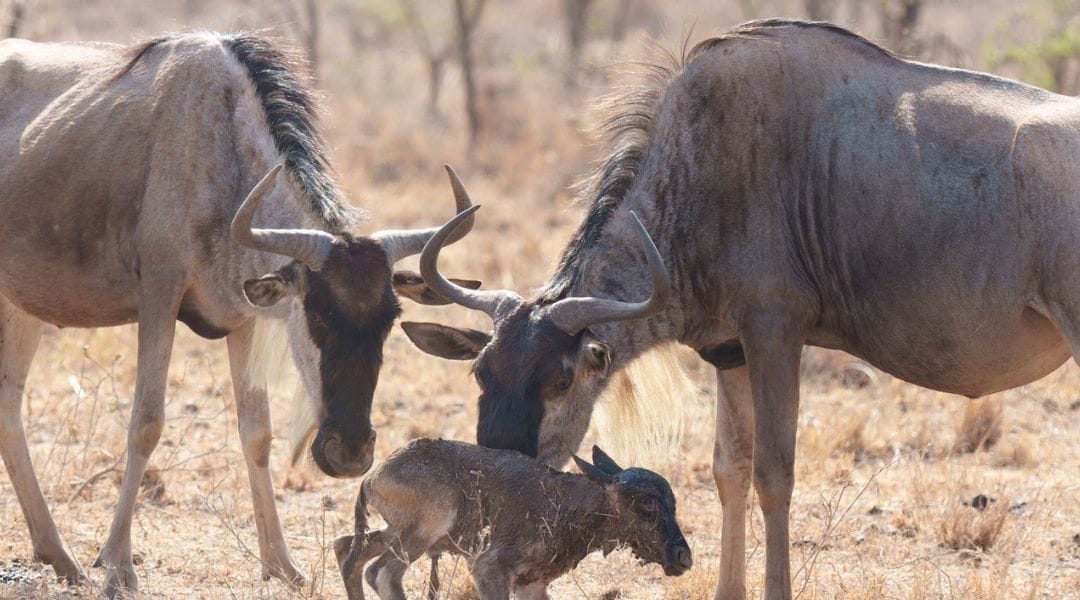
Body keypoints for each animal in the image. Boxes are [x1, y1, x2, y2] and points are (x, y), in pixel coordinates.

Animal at [0, 32, 476, 596]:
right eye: (318, 316)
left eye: (387, 323)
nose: (350, 455)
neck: (220, 144)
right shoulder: (159, 296)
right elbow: (147, 422)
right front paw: (117, 564)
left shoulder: (243, 318)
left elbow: (257, 433)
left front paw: (282, 563)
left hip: (22, 309)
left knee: (8, 403)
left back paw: (59, 556)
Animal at [400, 19, 1080, 600]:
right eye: (480, 374)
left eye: (561, 380)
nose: (489, 480)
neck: (704, 175)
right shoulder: (728, 354)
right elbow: (729, 469)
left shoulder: (775, 335)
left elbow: (774, 474)